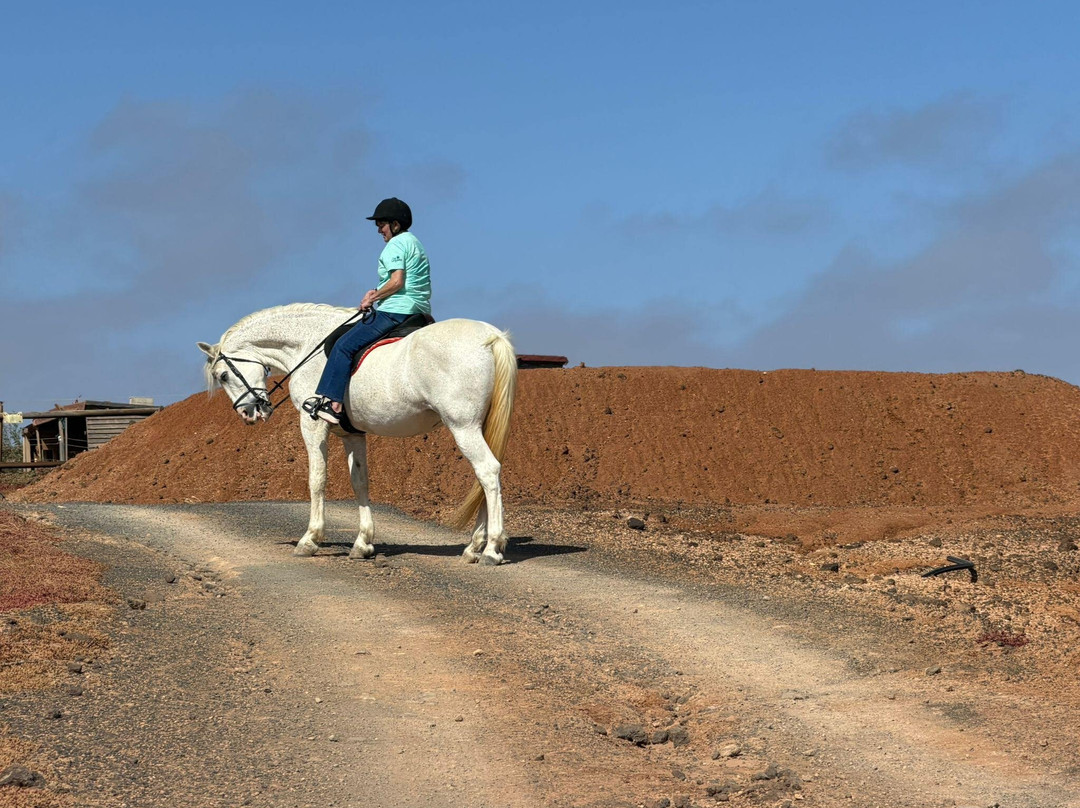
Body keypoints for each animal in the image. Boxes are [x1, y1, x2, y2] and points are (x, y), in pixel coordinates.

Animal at [197, 303, 517, 565]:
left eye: (223, 375)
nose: (248, 414)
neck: (306, 346)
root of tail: (490, 336)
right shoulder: (352, 434)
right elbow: (360, 482)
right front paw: (363, 543)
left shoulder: (312, 424)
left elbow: (317, 479)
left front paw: (310, 539)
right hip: (478, 426)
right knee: (483, 478)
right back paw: (474, 546)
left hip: (462, 426)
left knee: (487, 471)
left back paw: (491, 549)